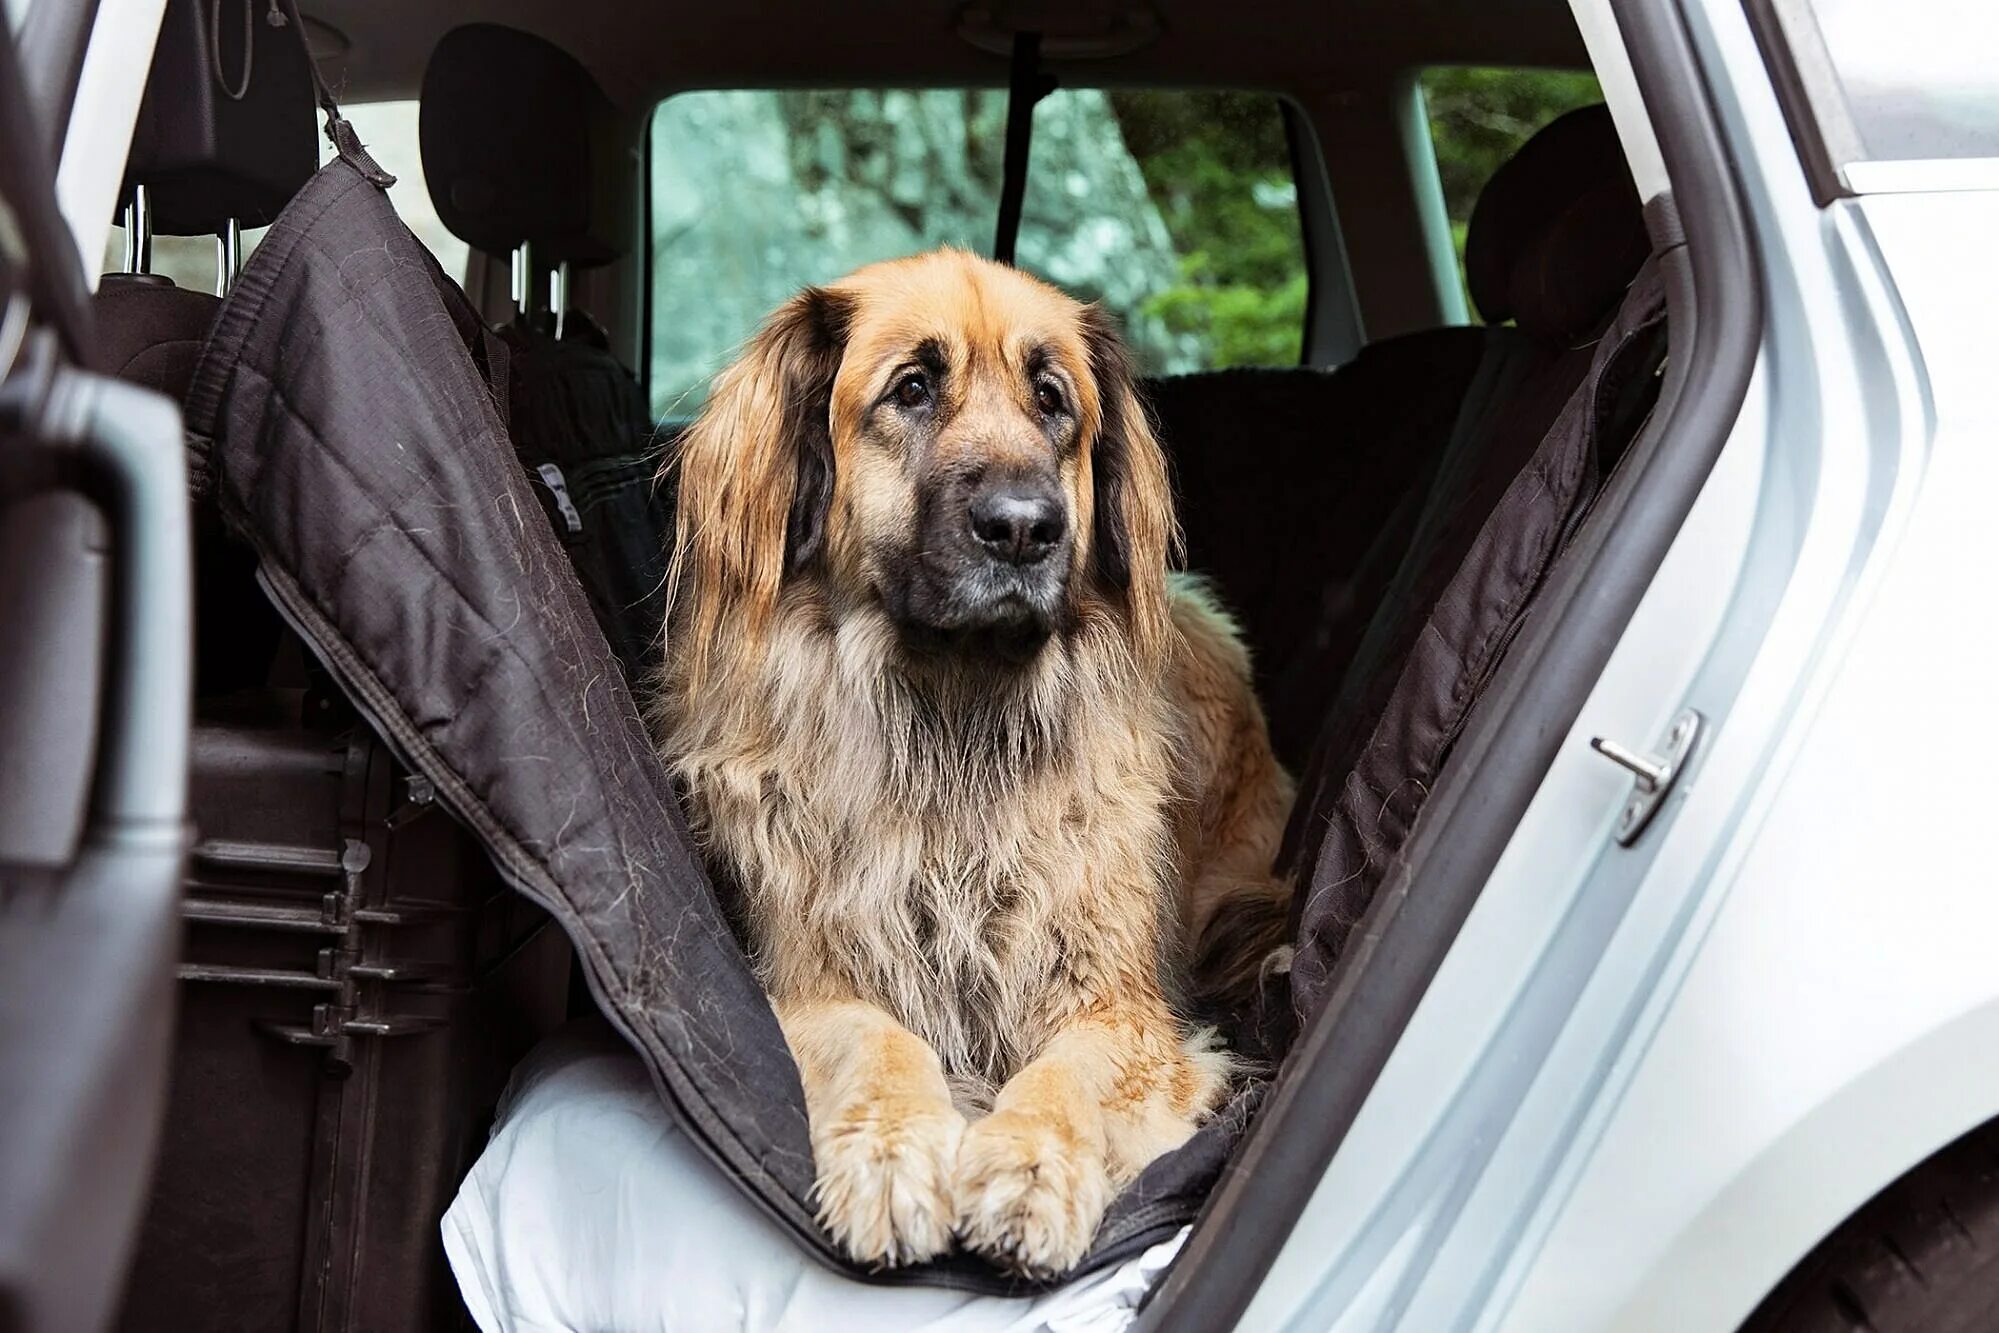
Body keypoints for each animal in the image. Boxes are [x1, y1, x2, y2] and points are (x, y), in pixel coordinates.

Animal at [655, 244, 1295, 1279]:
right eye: (912, 388)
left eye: (1051, 399)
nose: (1025, 527)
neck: (954, 715)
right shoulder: (808, 978)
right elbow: (879, 1041)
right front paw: (891, 1152)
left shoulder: (1119, 1007)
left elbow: (1066, 1072)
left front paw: (1029, 1167)